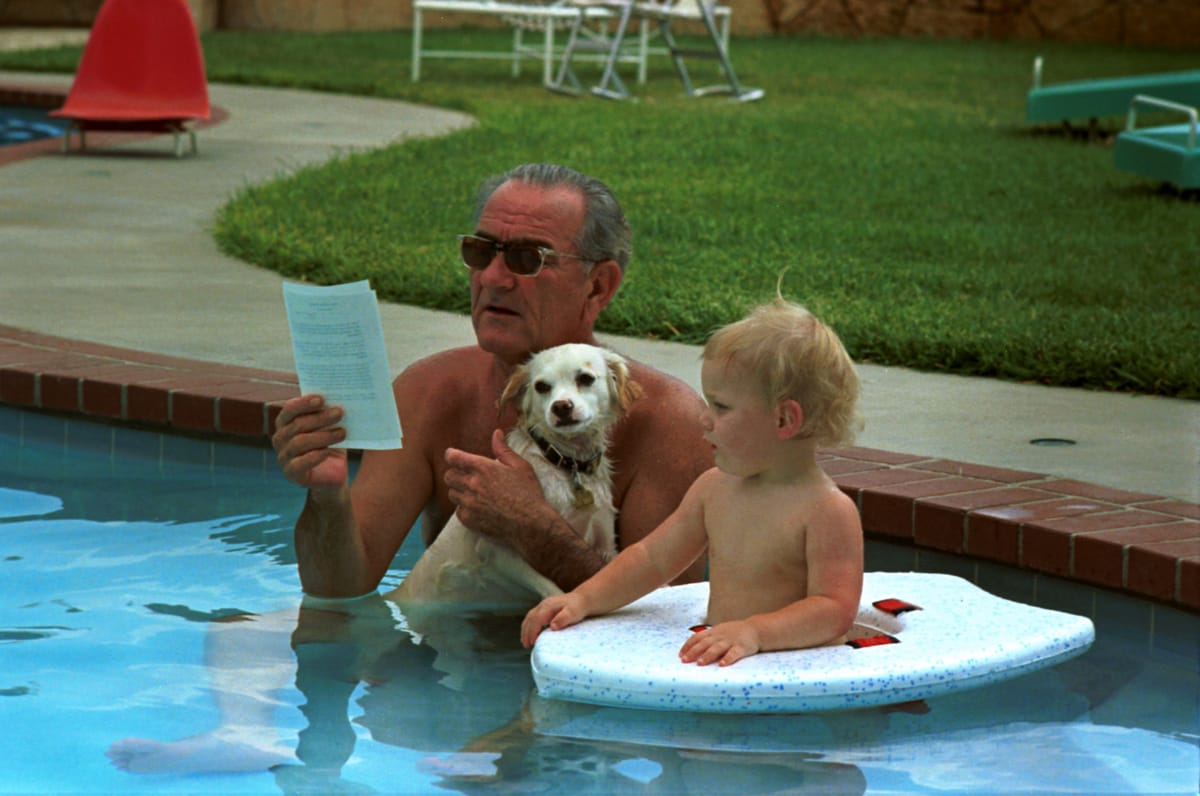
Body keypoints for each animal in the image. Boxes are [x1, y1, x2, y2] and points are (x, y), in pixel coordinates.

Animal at [391, 343, 638, 609]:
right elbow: (553, 590)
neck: (565, 462)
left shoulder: (606, 545)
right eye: (542, 386)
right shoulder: (498, 550)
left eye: (585, 379)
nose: (561, 406)